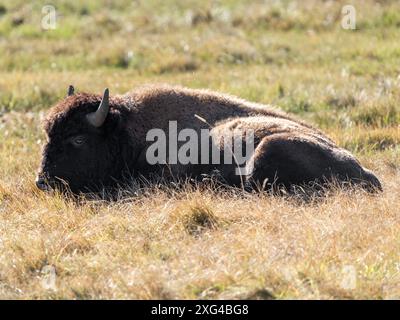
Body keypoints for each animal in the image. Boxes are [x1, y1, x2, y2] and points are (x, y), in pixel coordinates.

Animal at [35, 84, 382, 195]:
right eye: (48, 135)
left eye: (78, 140)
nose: (41, 180)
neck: (129, 129)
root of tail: (365, 172)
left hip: (267, 148)